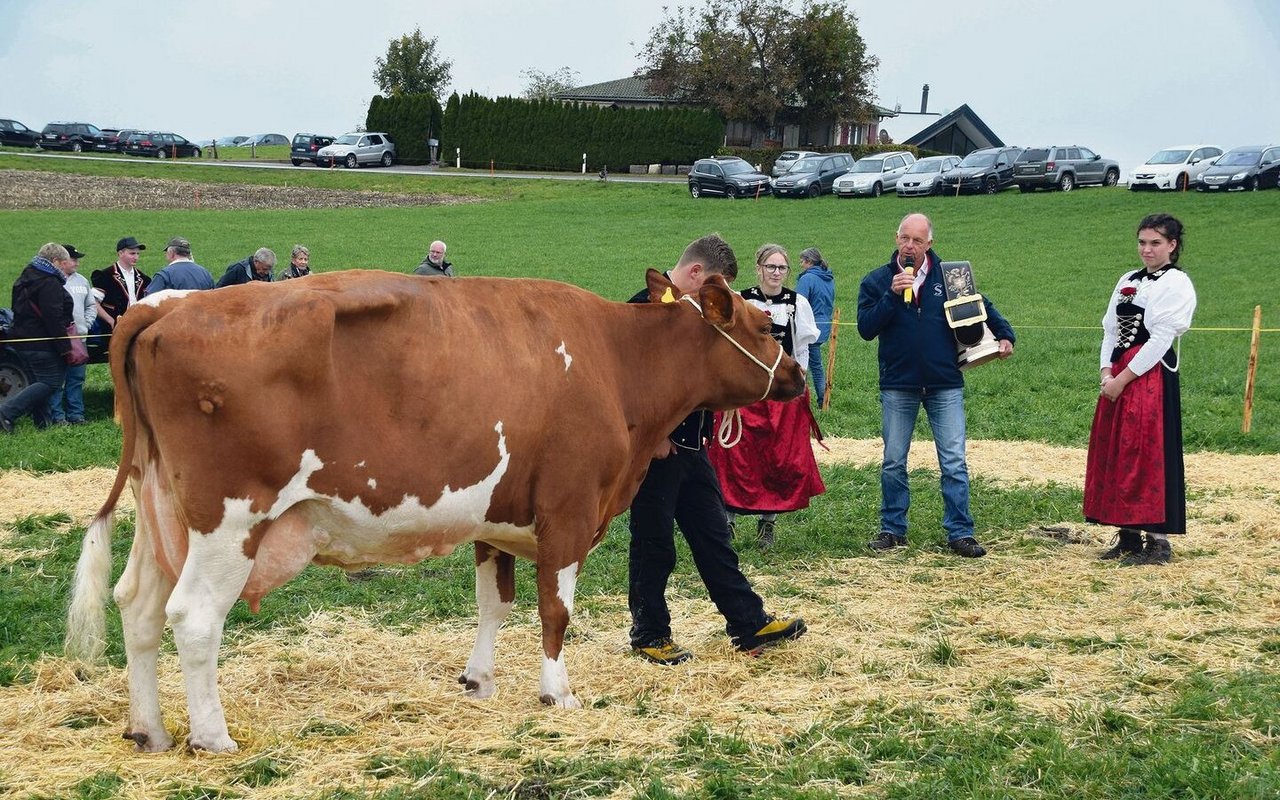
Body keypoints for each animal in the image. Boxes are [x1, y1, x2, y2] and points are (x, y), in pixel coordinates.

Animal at [64, 266, 798, 747]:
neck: (617, 360)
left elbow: (493, 604)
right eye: (766, 324)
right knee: (193, 618)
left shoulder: (498, 517)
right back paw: (211, 736)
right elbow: (555, 611)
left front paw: (479, 682)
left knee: (138, 606)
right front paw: (557, 693)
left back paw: (149, 729)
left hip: (163, 508)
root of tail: (166, 307)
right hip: (230, 520)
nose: (793, 374)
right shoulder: (568, 509)